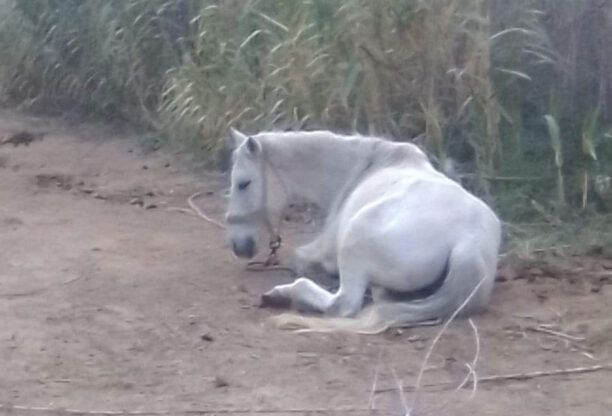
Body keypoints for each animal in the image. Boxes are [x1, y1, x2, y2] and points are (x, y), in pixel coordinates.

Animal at [222, 128, 500, 334]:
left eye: (243, 184)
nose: (238, 246)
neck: (359, 169)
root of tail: (468, 244)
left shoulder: (321, 251)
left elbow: (299, 261)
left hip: (355, 240)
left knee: (342, 304)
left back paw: (281, 295)